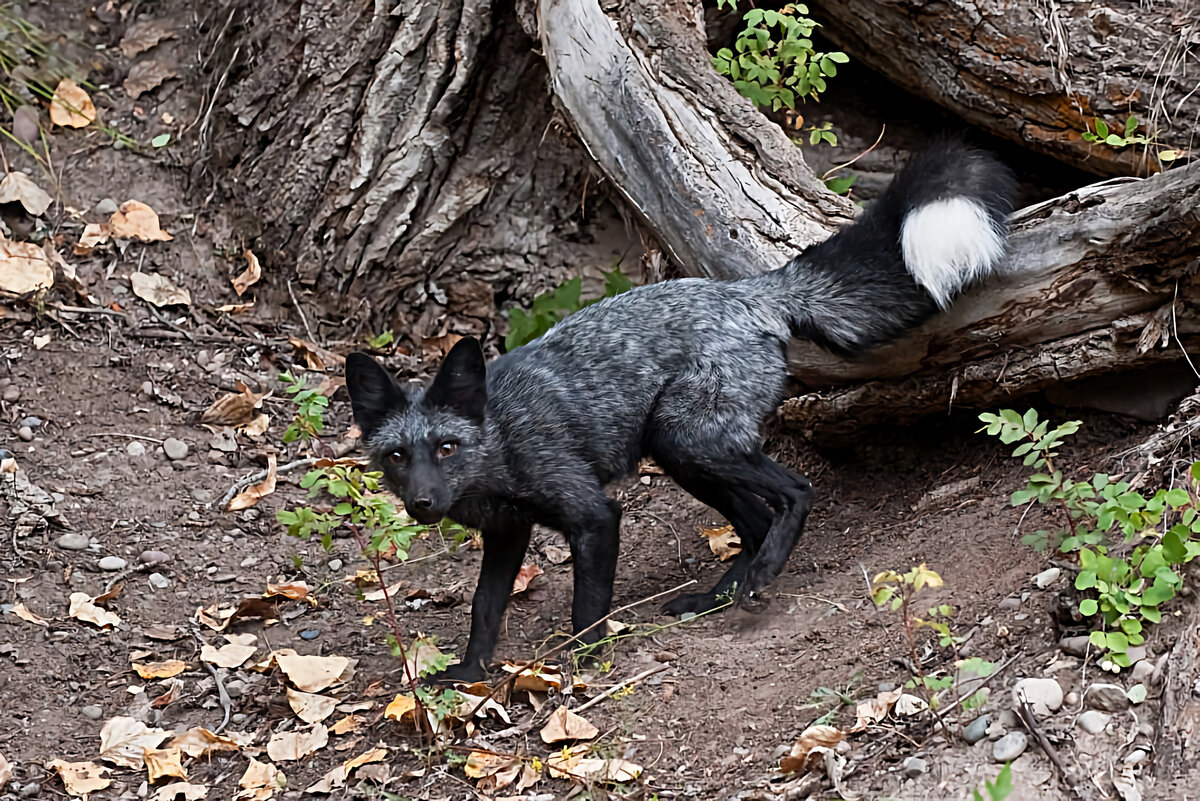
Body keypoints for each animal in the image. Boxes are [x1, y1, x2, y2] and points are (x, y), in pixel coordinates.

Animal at [345, 137, 1012, 681]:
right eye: (398, 456)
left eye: (447, 448)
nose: (423, 504)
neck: (501, 441)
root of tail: (745, 291)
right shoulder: (509, 533)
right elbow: (484, 608)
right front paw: (467, 675)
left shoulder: (593, 515)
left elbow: (587, 607)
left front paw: (581, 666)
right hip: (684, 454)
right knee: (754, 519)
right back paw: (720, 595)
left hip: (688, 440)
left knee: (795, 492)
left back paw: (762, 575)